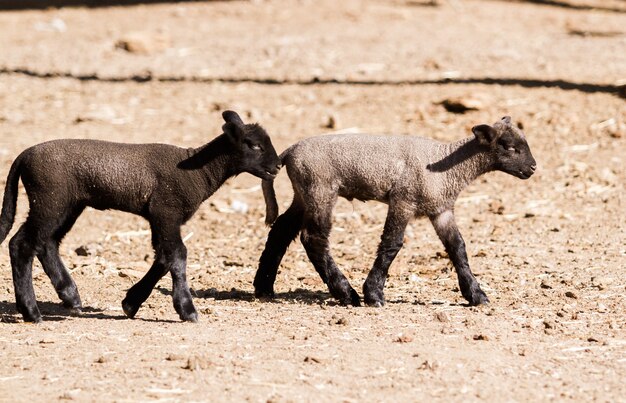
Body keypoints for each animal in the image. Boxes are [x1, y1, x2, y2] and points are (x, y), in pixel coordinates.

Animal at [0, 109, 280, 322]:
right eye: (255, 145)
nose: (277, 166)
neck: (198, 172)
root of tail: (24, 155)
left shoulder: (158, 217)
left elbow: (163, 258)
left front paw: (130, 303)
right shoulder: (166, 211)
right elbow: (177, 256)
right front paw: (187, 310)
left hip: (68, 204)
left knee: (47, 244)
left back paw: (70, 297)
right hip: (49, 198)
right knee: (22, 244)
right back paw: (32, 312)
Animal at [254, 118, 536, 308]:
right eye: (509, 147)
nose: (533, 167)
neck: (448, 167)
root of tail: (289, 152)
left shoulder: (441, 210)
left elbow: (458, 248)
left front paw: (476, 295)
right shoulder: (403, 200)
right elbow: (392, 243)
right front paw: (374, 294)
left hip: (303, 194)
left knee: (280, 231)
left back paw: (264, 287)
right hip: (320, 188)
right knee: (313, 239)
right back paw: (347, 293)